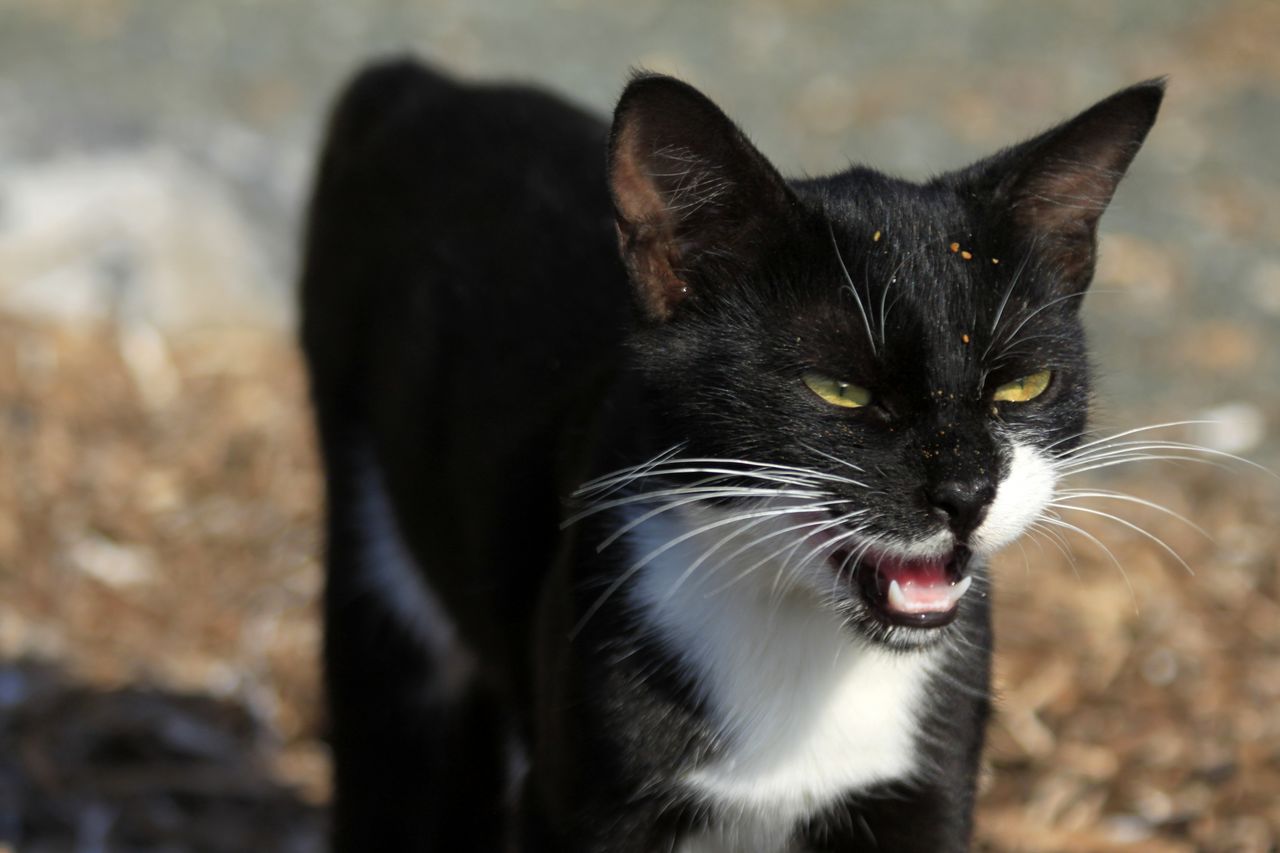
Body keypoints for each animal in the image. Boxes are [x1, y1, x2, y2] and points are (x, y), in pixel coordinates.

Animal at [299, 61, 1162, 850]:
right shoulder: (586, 797)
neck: (796, 632)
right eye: (838, 389)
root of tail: (430, 81)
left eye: (1024, 384)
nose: (966, 489)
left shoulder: (923, 784)